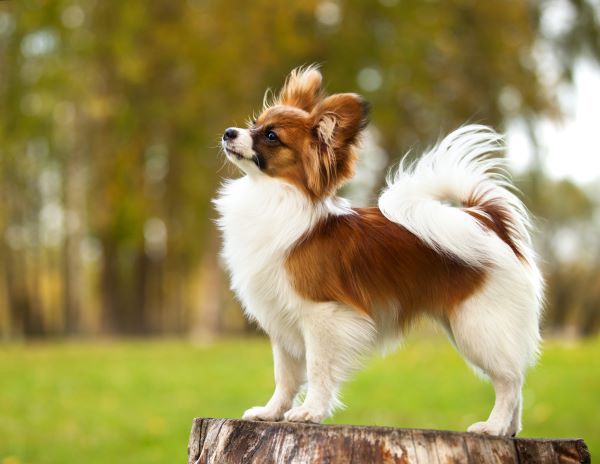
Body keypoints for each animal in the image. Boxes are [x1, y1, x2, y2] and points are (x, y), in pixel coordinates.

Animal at [216, 66, 544, 438]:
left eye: (271, 136)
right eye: (254, 123)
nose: (229, 132)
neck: (273, 196)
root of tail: (486, 220)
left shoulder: (323, 317)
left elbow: (318, 370)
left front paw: (310, 412)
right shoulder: (283, 322)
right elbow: (285, 378)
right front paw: (271, 413)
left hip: (479, 326)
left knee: (510, 380)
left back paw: (494, 426)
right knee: (515, 382)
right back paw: (509, 429)